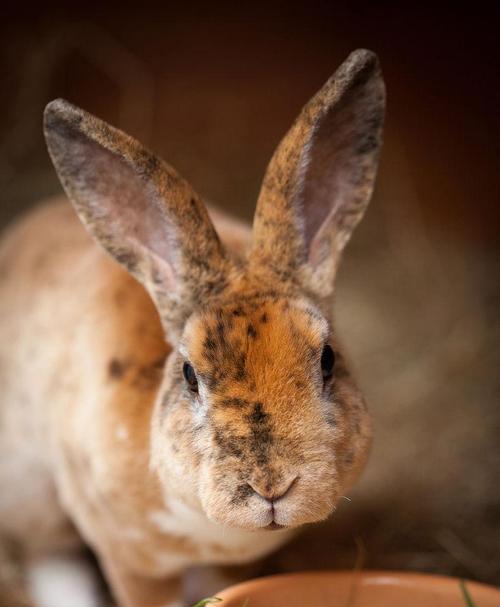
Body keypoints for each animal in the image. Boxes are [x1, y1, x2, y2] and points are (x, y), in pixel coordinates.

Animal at [0, 48, 384, 607]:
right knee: (51, 559)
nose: (272, 487)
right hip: (31, 496)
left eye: (328, 359)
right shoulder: (130, 560)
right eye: (188, 375)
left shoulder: (229, 567)